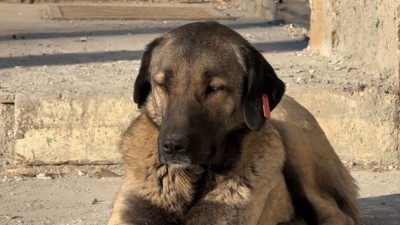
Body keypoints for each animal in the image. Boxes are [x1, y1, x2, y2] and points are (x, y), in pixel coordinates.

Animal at [107, 21, 360, 225]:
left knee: (335, 214)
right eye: (162, 84)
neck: (194, 178)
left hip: (293, 140)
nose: (172, 146)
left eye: (214, 89)